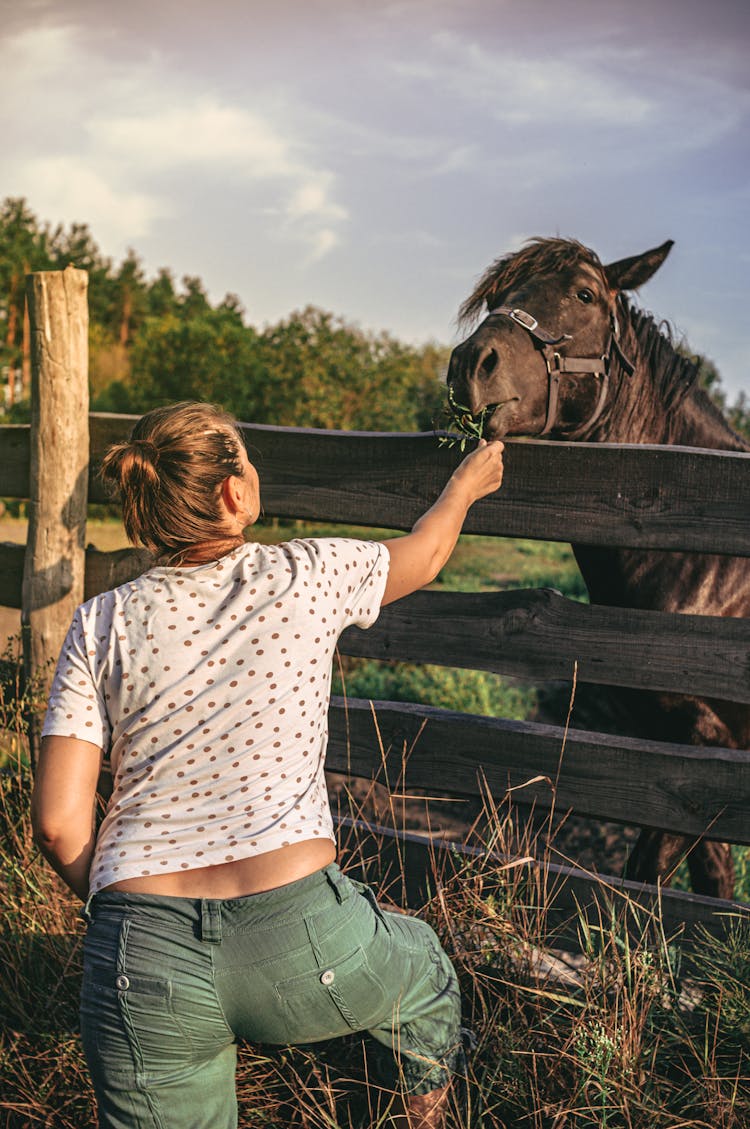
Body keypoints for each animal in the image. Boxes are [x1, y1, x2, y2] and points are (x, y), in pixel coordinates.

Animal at [447, 238, 745, 898]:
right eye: (498, 293)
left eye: (584, 294)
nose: (470, 363)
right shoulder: (680, 760)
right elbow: (710, 881)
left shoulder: (704, 759)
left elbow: (648, 873)